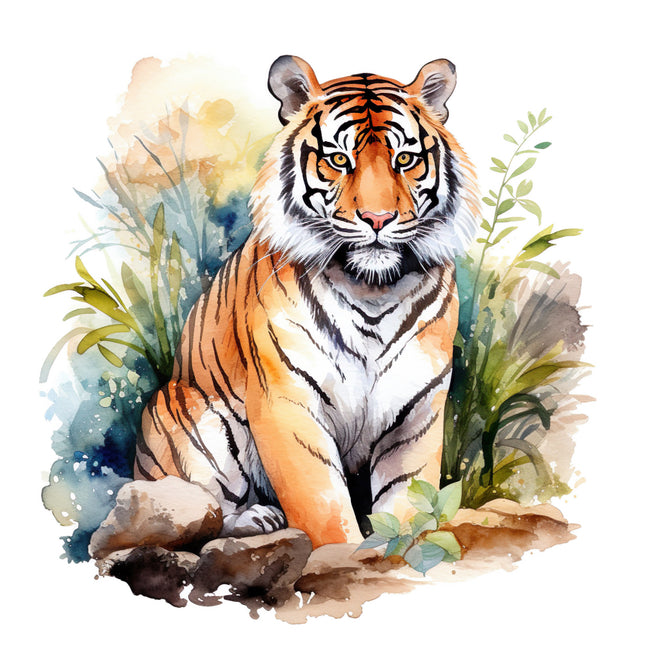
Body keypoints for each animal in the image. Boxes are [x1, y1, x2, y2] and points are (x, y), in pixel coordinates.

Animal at [134, 55, 479, 548]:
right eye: (338, 159)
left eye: (405, 160)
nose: (378, 219)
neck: (371, 288)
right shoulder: (287, 402)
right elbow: (322, 506)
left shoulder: (417, 410)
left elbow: (410, 502)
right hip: (190, 416)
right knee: (197, 512)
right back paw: (256, 518)